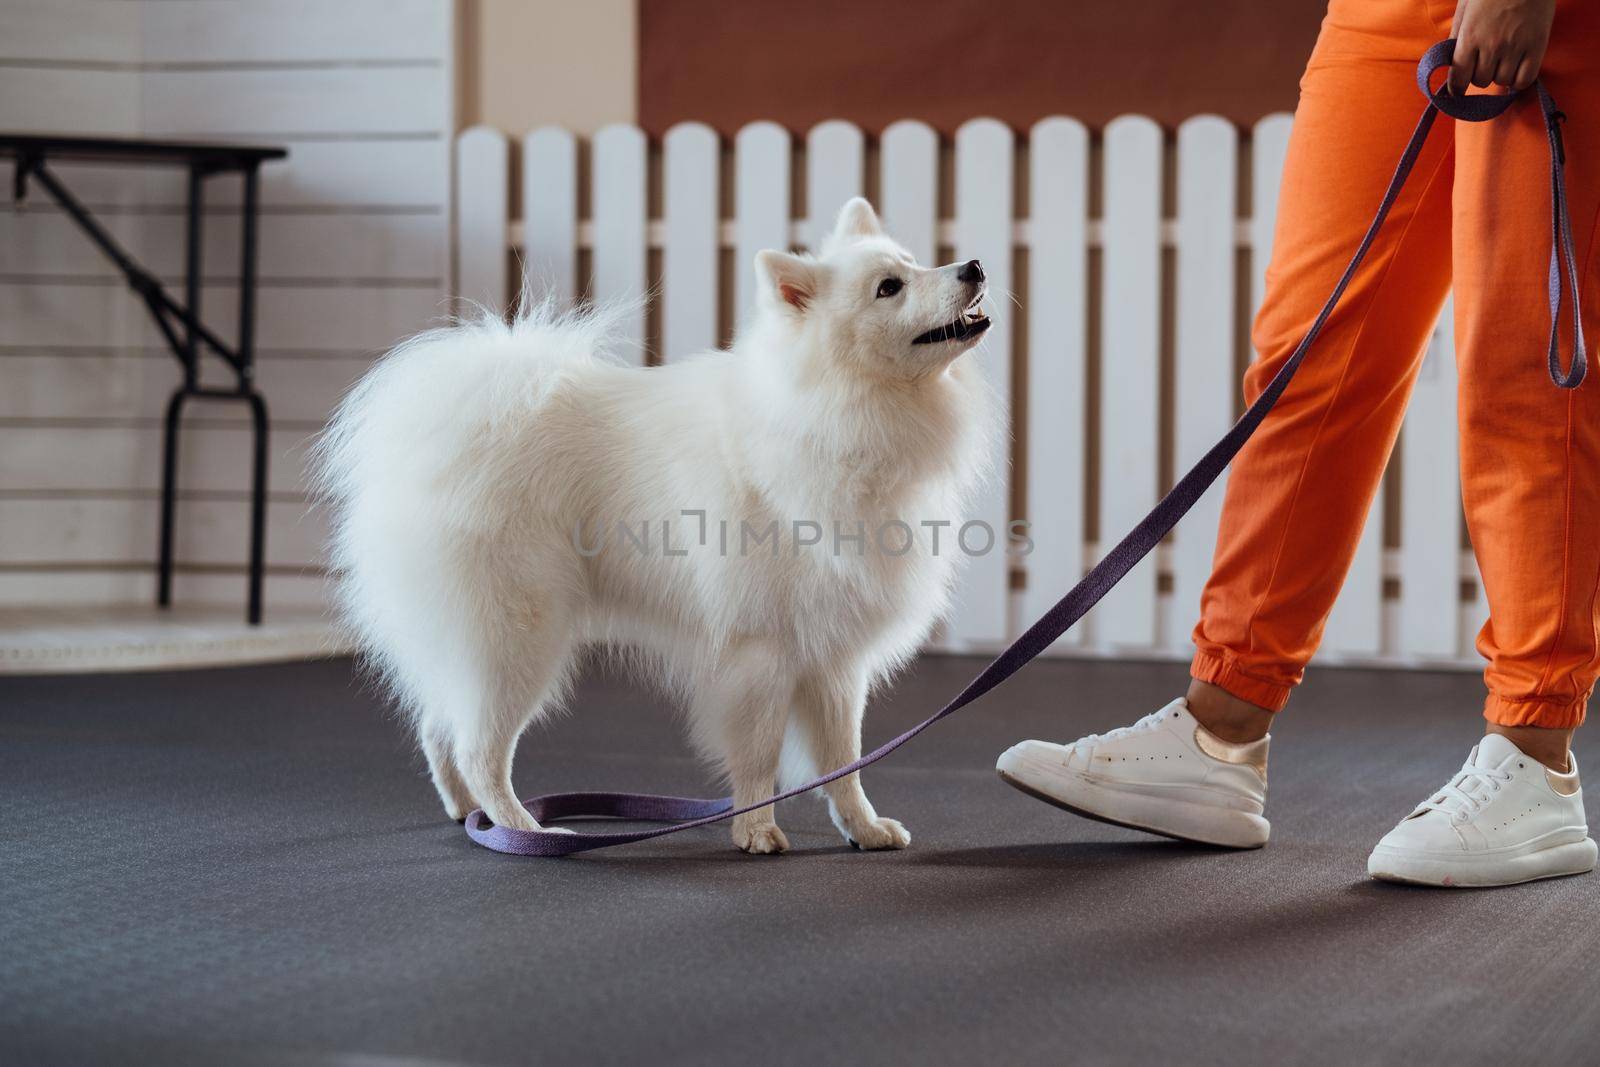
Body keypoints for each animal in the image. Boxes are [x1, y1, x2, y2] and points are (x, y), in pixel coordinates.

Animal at [321, 198, 998, 851]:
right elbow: (759, 757)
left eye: (914, 263)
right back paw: (524, 829)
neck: (834, 413)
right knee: (478, 749)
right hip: (517, 637)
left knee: (441, 729)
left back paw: (470, 813)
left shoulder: (831, 653)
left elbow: (844, 760)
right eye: (889, 288)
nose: (974, 267)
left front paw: (863, 828)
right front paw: (756, 831)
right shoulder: (762, 649)